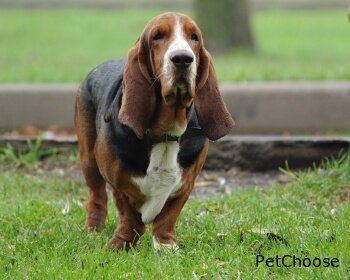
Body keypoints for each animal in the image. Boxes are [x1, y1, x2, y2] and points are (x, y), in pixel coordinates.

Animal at [75, 12, 235, 250]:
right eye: (158, 36)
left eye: (194, 37)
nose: (183, 59)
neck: (165, 134)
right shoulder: (118, 183)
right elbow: (129, 215)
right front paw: (119, 246)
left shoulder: (186, 185)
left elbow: (167, 218)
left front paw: (166, 247)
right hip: (89, 161)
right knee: (97, 197)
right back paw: (92, 230)